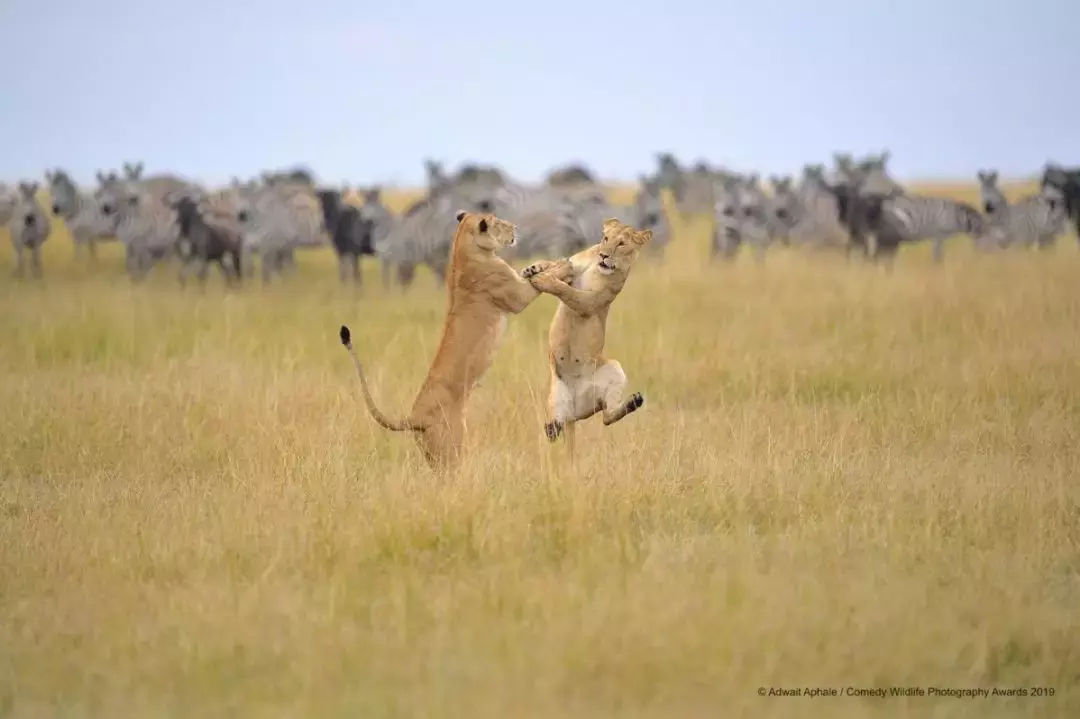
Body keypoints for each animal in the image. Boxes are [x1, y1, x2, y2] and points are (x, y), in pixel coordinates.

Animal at [339, 210, 544, 468]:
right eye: (499, 223)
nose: (515, 228)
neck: (462, 247)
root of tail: (413, 417)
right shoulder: (517, 297)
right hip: (452, 446)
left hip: (432, 454)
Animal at [520, 215, 648, 455]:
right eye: (605, 238)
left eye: (621, 244)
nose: (604, 255)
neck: (596, 267)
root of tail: (574, 411)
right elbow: (557, 265)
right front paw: (533, 268)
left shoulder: (591, 301)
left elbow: (568, 291)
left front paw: (544, 280)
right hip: (555, 395)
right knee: (557, 430)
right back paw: (552, 426)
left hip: (613, 369)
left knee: (606, 416)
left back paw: (634, 402)